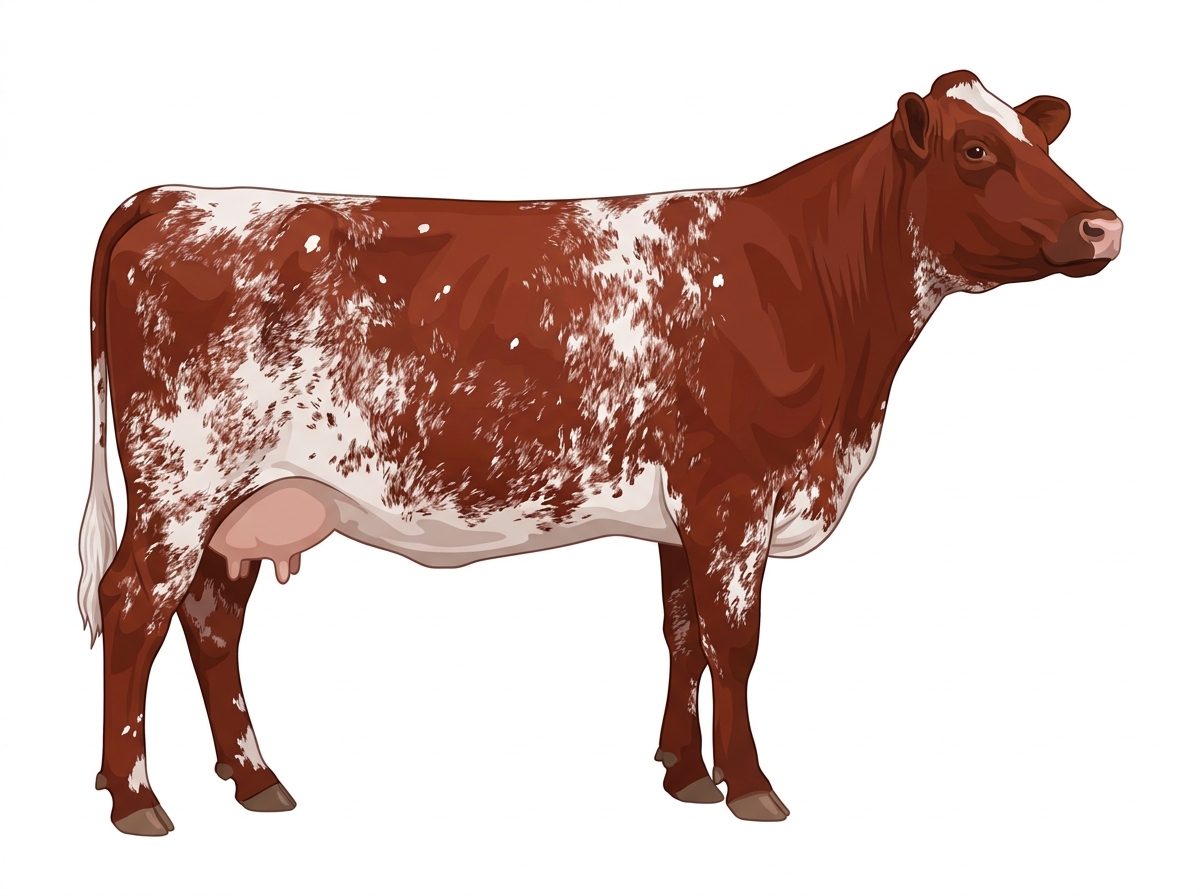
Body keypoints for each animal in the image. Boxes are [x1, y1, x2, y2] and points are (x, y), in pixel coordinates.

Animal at [78, 70, 1121, 835]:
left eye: (1045, 142)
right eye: (977, 149)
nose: (1105, 224)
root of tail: (172, 194)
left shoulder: (686, 514)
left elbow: (684, 635)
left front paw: (686, 773)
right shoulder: (735, 492)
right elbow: (737, 643)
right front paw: (752, 788)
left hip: (248, 500)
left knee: (211, 620)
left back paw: (255, 779)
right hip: (182, 480)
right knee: (134, 605)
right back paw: (137, 798)